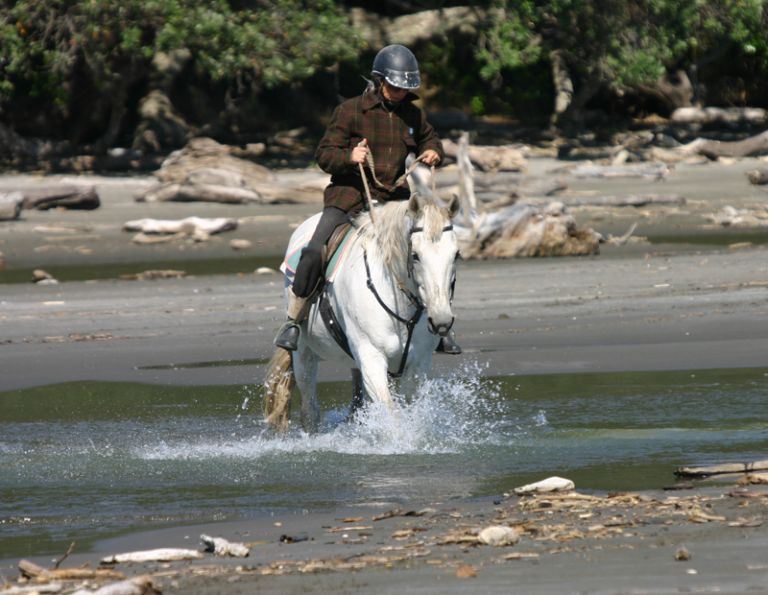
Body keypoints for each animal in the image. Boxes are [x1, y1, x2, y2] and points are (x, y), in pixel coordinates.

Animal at [263, 192, 460, 432]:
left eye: (456, 255)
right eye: (415, 255)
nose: (442, 321)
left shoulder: (417, 366)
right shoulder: (371, 359)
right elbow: (392, 419)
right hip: (303, 355)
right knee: (310, 411)